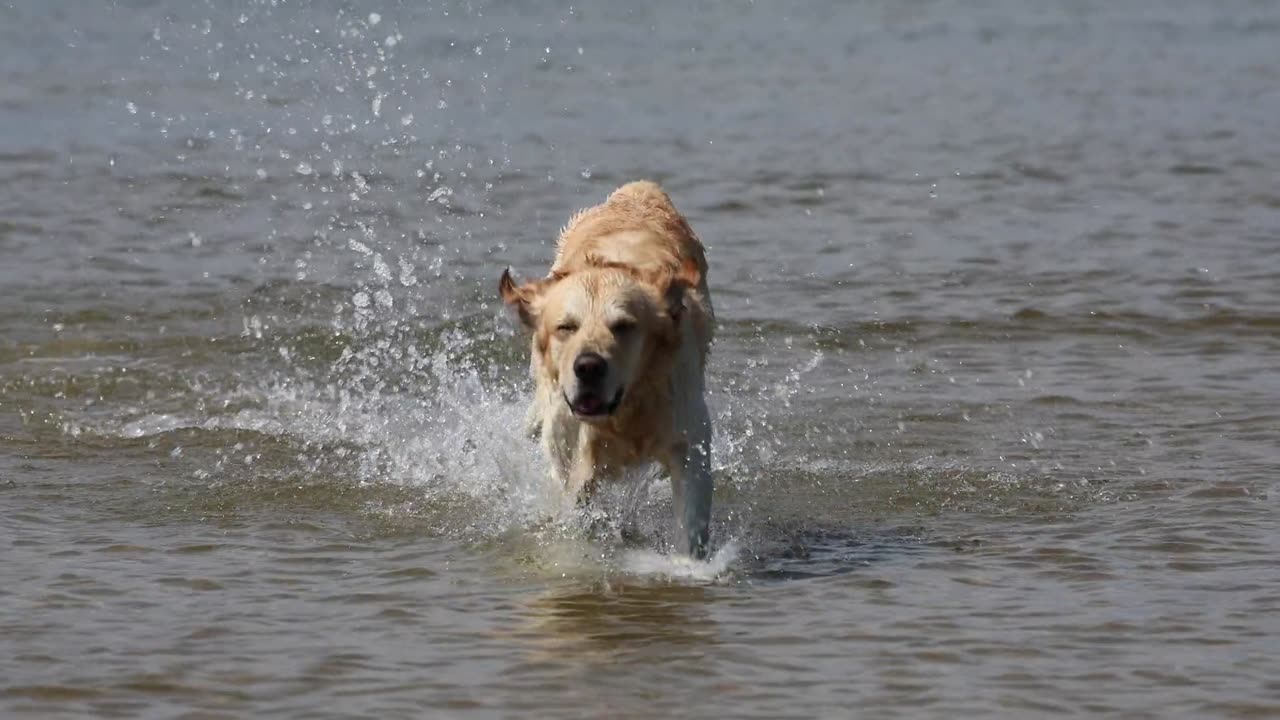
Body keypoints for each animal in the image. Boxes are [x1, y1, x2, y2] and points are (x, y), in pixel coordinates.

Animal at [499, 179, 716, 556]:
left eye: (624, 326)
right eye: (565, 327)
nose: (588, 367)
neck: (626, 413)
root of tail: (639, 187)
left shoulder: (688, 438)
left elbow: (691, 525)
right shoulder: (577, 454)